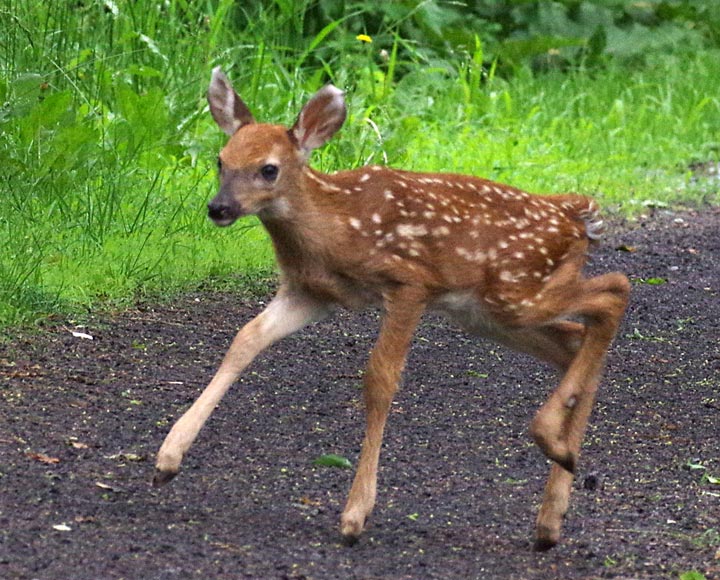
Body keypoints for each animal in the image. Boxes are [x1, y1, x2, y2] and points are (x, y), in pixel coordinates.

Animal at [153, 67, 630, 550]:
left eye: (268, 169)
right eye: (221, 159)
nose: (219, 208)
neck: (334, 228)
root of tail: (574, 214)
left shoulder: (409, 283)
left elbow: (380, 379)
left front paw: (355, 513)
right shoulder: (310, 292)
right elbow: (244, 340)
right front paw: (168, 458)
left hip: (514, 292)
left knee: (613, 291)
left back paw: (551, 443)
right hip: (491, 312)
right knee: (576, 338)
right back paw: (553, 508)